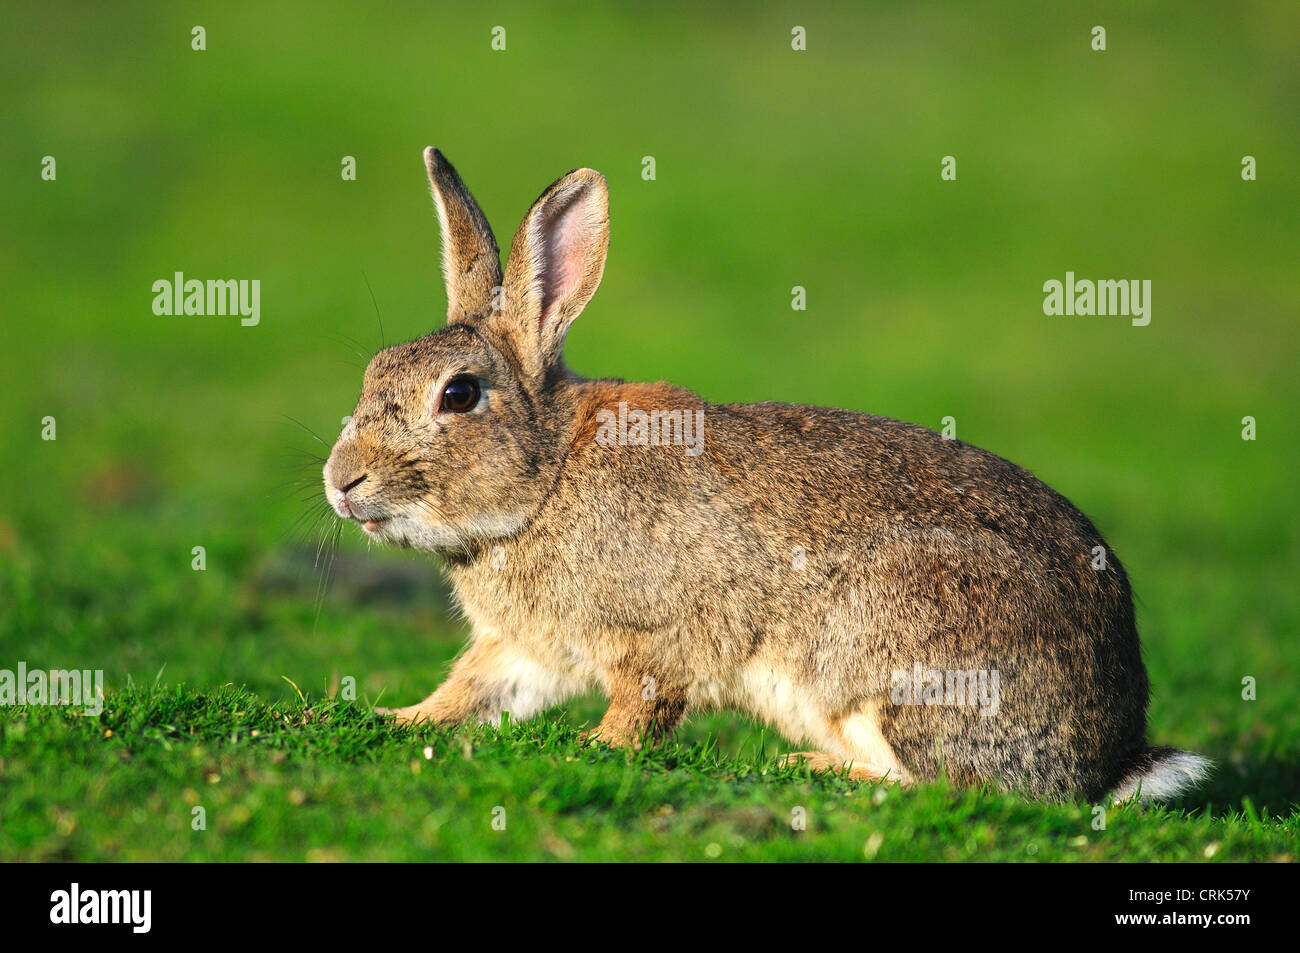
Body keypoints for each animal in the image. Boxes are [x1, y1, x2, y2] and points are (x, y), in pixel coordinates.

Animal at [323, 147, 1210, 803]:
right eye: (372, 371)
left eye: (459, 394)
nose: (341, 482)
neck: (547, 480)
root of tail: (1111, 757)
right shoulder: (525, 649)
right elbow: (471, 691)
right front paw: (395, 715)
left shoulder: (659, 638)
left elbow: (640, 711)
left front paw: (589, 746)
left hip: (899, 660)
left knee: (951, 781)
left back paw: (803, 766)